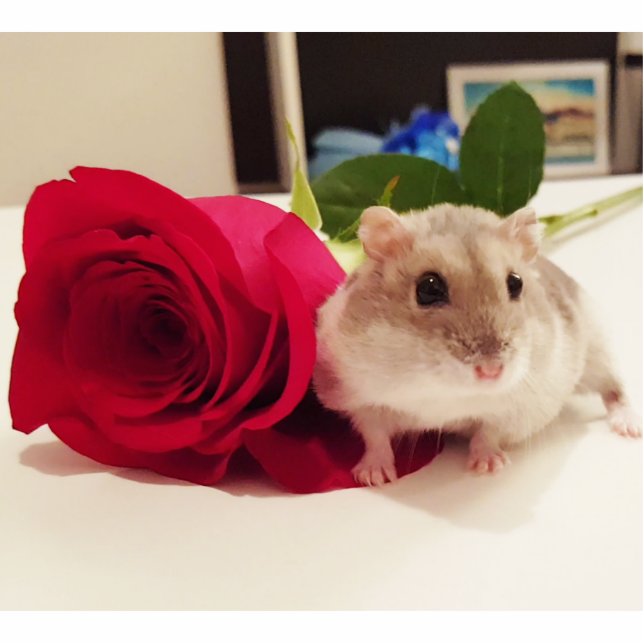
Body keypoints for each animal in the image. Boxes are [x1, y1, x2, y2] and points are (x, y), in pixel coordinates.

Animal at [313, 204, 641, 485]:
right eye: (428, 288)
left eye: (516, 283)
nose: (491, 371)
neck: (443, 391)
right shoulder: (361, 400)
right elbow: (375, 438)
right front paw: (374, 477)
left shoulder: (518, 408)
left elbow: (488, 432)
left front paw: (487, 467)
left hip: (598, 349)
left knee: (615, 388)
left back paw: (630, 429)